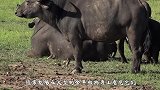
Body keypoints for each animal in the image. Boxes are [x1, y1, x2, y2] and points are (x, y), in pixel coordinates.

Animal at [15, 0, 151, 73]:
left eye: (28, 2)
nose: (17, 11)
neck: (62, 11)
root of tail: (141, 3)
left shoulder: (75, 37)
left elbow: (77, 53)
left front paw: (77, 68)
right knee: (141, 51)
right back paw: (138, 68)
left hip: (133, 33)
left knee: (136, 50)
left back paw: (134, 69)